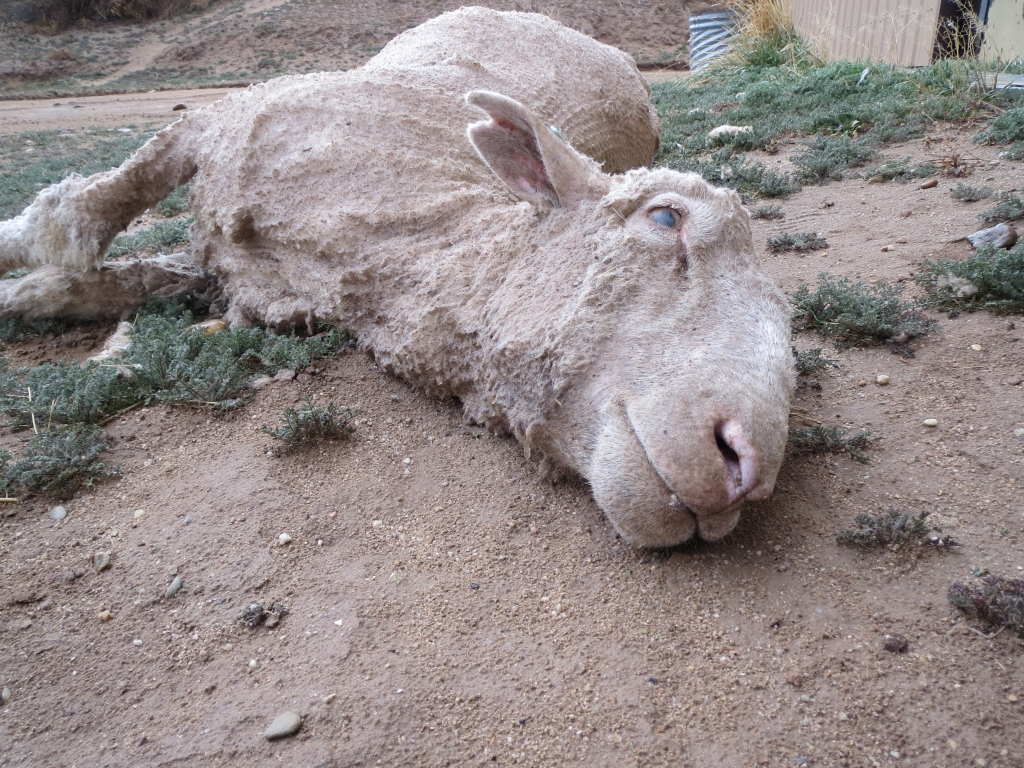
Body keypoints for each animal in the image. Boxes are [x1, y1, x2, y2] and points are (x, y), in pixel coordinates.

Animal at [0, 6, 790, 548]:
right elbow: (71, 220)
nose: (745, 466)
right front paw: (22, 268)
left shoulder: (237, 275)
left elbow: (121, 276)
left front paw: (29, 294)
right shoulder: (223, 122)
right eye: (665, 218)